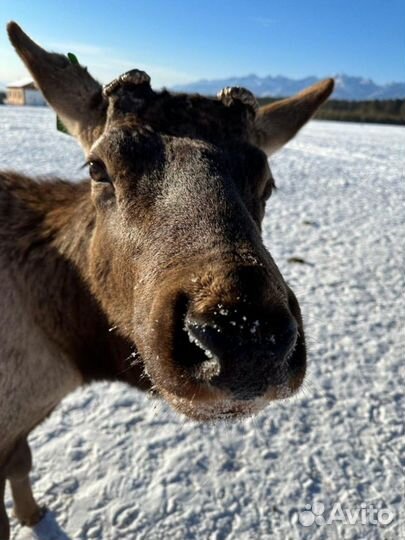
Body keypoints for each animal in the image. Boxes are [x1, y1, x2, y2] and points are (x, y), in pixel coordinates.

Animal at [0, 22, 332, 540]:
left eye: (268, 181)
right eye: (97, 167)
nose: (244, 337)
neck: (70, 354)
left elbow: (22, 461)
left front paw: (33, 514)